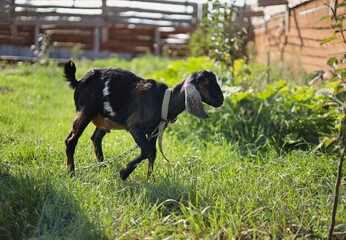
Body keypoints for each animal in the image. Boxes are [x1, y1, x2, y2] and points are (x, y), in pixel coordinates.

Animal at [63, 60, 223, 180]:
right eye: (203, 82)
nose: (220, 99)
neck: (163, 101)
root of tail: (79, 81)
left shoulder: (153, 131)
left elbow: (153, 152)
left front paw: (149, 179)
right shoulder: (134, 127)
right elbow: (148, 151)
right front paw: (124, 172)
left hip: (104, 118)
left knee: (95, 138)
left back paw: (101, 166)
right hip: (86, 110)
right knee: (71, 140)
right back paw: (71, 172)